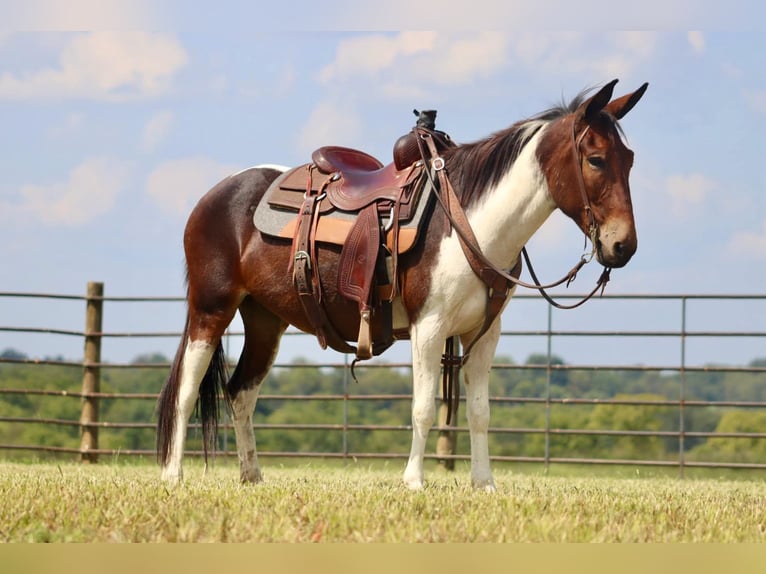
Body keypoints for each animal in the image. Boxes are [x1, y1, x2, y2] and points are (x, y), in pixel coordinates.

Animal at [156, 78, 648, 491]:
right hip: (211, 308)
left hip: (264, 320)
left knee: (241, 392)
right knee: (186, 389)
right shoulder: (428, 328)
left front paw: (483, 483)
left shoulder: (483, 333)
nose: (623, 246)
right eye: (596, 159)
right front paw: (414, 481)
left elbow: (480, 411)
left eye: (629, 160)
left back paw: (252, 475)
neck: (469, 220)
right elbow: (424, 407)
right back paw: (173, 475)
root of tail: (216, 193)